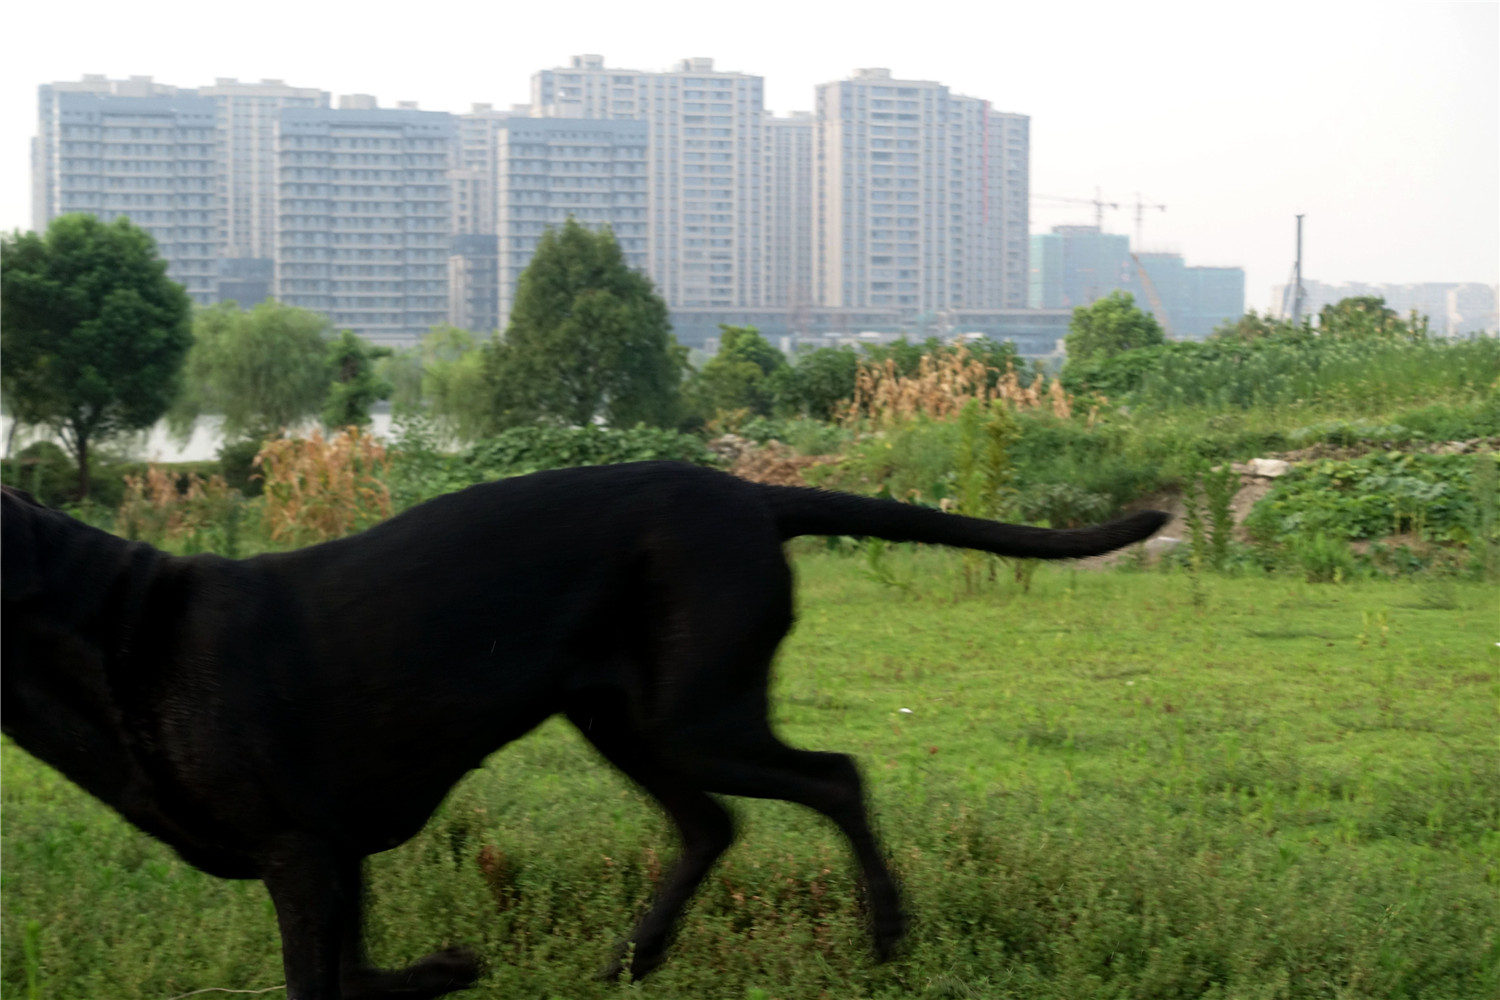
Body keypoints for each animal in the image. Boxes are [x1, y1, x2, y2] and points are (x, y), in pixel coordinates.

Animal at [2, 463, 1166, 1000]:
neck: (115, 631)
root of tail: (752, 492)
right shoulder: (333, 859)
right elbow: (362, 975)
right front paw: (453, 965)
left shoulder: (301, 856)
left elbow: (320, 982)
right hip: (625, 719)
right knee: (712, 827)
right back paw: (634, 957)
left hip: (694, 717)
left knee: (836, 776)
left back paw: (884, 935)